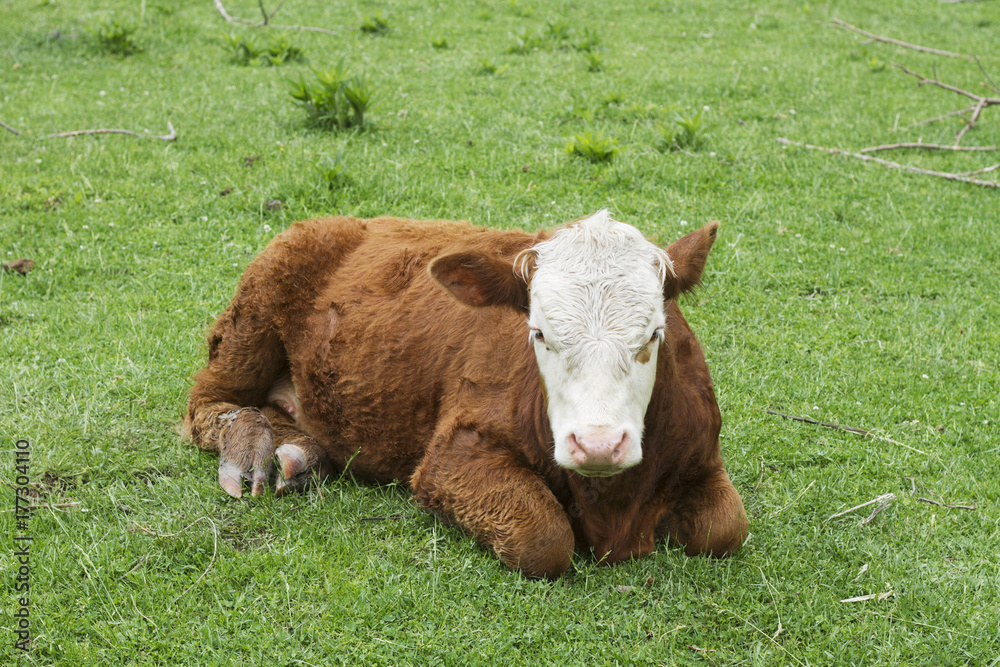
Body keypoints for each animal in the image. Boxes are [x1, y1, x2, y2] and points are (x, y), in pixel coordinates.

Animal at [184, 210, 747, 578]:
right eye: (538, 333)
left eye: (654, 334)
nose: (599, 445)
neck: (614, 508)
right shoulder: (451, 455)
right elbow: (543, 538)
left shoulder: (703, 454)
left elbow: (726, 528)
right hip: (250, 319)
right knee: (206, 404)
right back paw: (254, 447)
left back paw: (300, 451)